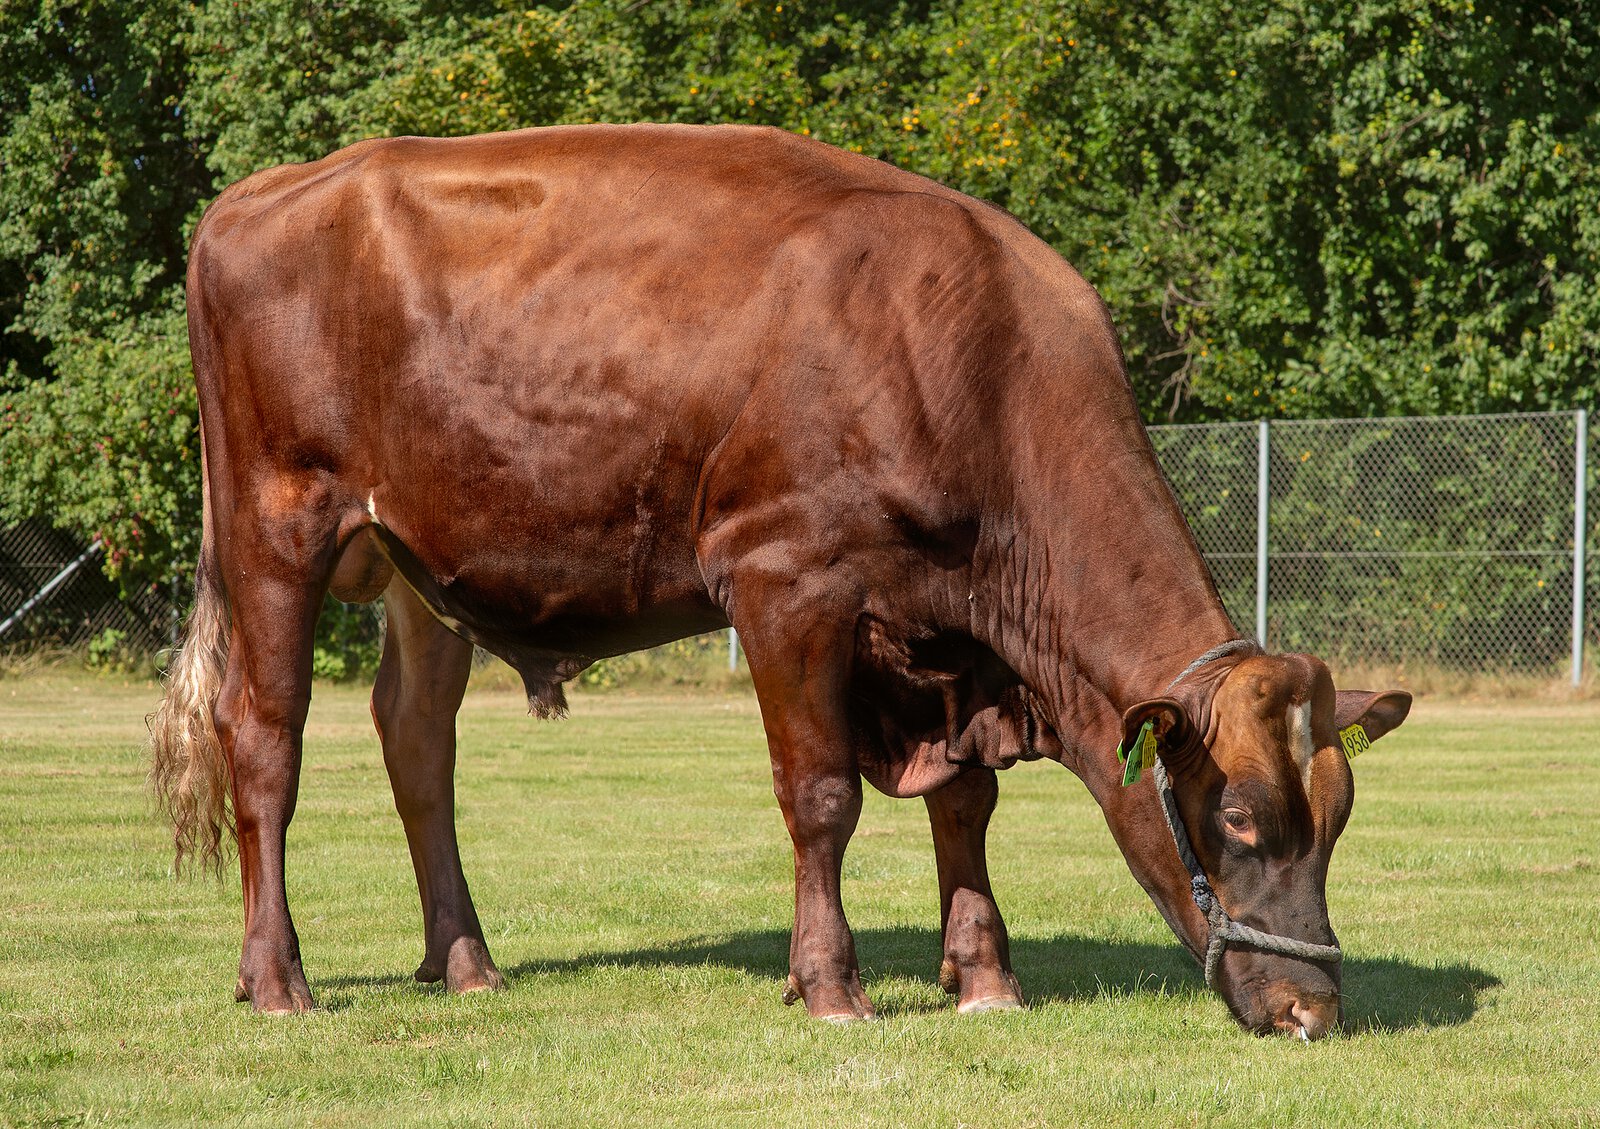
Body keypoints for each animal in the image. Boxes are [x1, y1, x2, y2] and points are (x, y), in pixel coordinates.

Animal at [148, 123, 1410, 1037]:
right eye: (1236, 815)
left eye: (1340, 816)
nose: (1312, 1009)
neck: (967, 352)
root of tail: (267, 189)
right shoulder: (785, 582)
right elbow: (822, 798)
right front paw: (832, 985)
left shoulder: (953, 645)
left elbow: (965, 805)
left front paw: (983, 975)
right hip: (277, 523)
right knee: (263, 736)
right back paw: (278, 980)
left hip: (420, 565)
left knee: (417, 741)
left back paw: (465, 962)